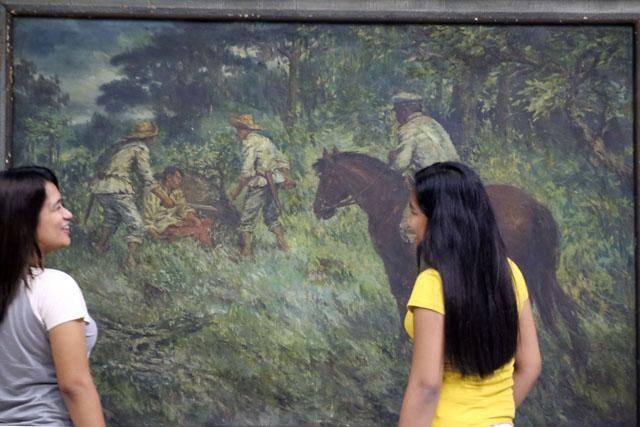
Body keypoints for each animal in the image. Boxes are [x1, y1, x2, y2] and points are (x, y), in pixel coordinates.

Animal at [312, 147, 584, 344]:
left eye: (329, 178)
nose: (318, 209)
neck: (388, 202)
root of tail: (536, 208)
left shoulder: (397, 266)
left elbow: (403, 300)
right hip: (542, 272)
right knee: (566, 311)